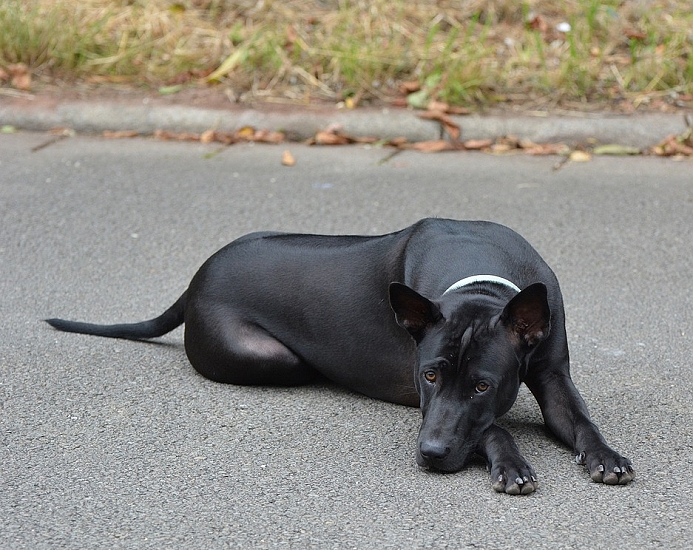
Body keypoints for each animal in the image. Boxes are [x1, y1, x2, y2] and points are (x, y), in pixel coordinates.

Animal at [47, 219, 632, 496]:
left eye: (484, 385)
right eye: (429, 375)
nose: (430, 453)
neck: (482, 285)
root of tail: (194, 280)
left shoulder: (552, 376)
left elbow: (580, 419)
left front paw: (606, 455)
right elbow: (492, 427)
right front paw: (510, 462)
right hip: (274, 359)